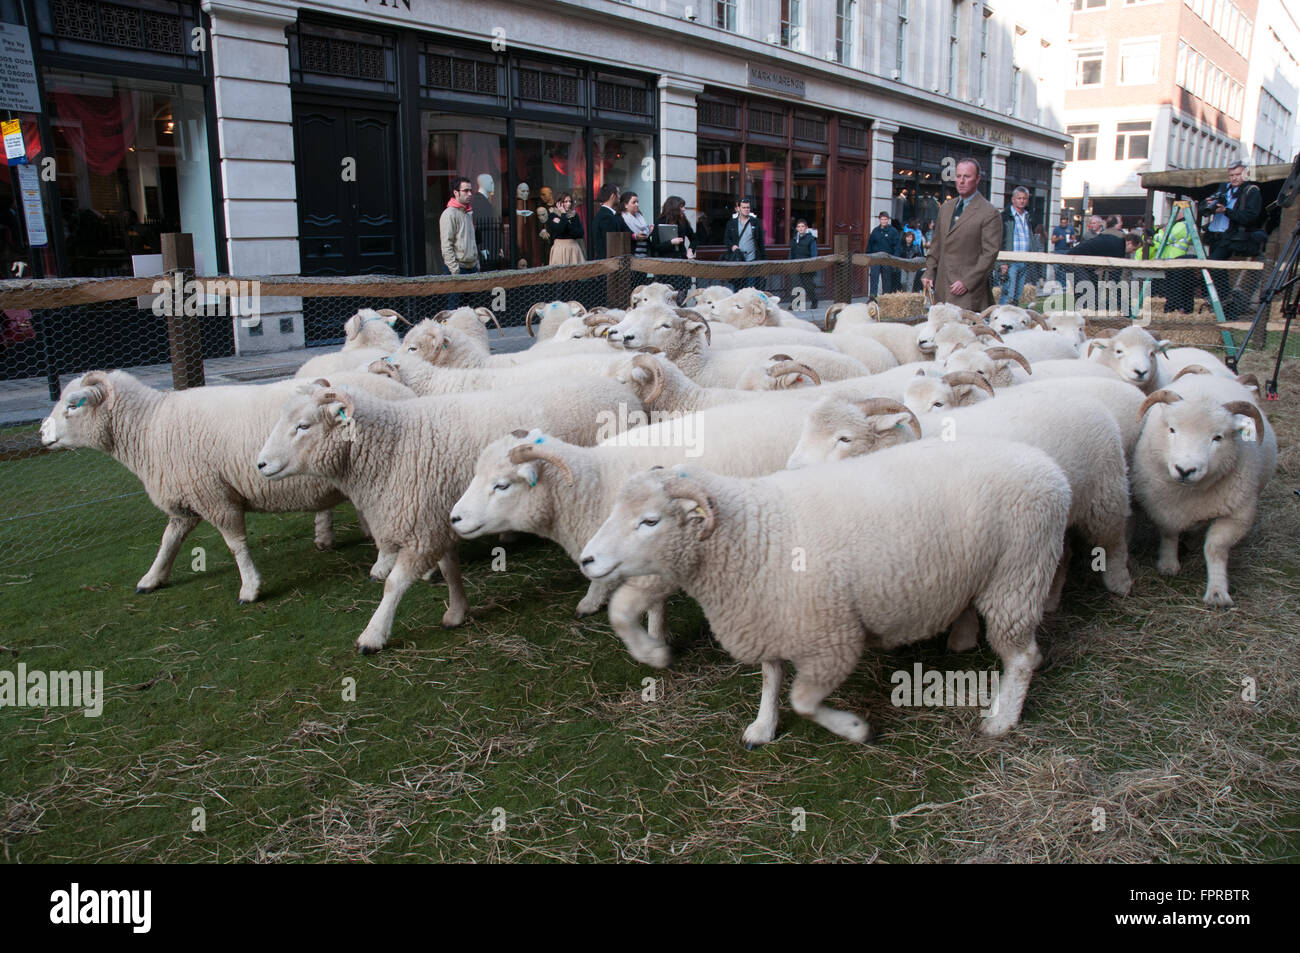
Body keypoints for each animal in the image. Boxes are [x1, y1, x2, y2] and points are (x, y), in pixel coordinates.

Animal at [38, 370, 412, 604]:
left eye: (72, 405)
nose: (41, 433)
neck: (149, 427)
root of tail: (404, 390)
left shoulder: (213, 496)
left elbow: (235, 545)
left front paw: (250, 588)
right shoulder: (187, 501)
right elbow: (168, 541)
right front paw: (152, 578)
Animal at [256, 374, 643, 652]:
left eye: (304, 425)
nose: (260, 464)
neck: (392, 447)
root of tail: (623, 388)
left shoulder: (421, 528)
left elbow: (394, 584)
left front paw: (373, 635)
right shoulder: (438, 517)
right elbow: (449, 569)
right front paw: (457, 611)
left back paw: (593, 598)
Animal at [577, 441, 1072, 743]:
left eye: (650, 521)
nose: (586, 560)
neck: (755, 534)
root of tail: (1050, 468)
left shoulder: (832, 638)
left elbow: (803, 700)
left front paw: (853, 728)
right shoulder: (770, 616)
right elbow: (771, 676)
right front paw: (762, 726)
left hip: (1018, 574)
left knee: (1023, 656)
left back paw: (1002, 718)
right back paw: (962, 640)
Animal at [1131, 375, 1277, 607]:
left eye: (1217, 437)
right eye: (1172, 429)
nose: (1185, 470)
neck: (1190, 493)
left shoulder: (1237, 515)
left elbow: (1215, 548)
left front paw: (1217, 592)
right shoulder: (1162, 506)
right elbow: (1169, 533)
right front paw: (1168, 565)